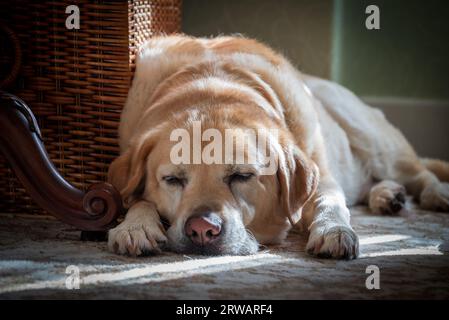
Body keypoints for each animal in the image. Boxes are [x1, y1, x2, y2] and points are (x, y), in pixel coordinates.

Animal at [107, 35, 448, 260]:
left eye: (242, 176)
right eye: (172, 180)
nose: (202, 229)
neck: (213, 81)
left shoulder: (323, 177)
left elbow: (330, 204)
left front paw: (334, 232)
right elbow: (137, 199)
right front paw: (134, 226)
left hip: (376, 143)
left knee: (420, 173)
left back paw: (435, 194)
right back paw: (388, 195)